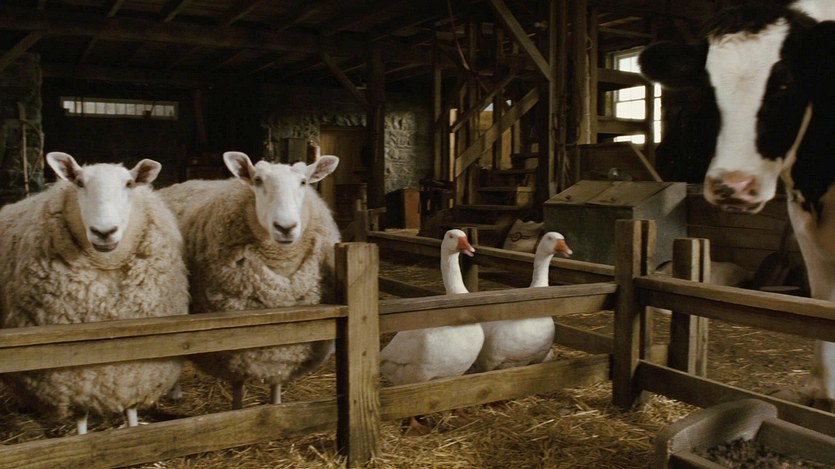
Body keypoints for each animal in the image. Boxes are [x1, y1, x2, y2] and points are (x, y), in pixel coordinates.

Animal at [0, 152, 188, 435]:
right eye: (79, 182)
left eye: (129, 184)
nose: (104, 232)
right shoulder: (74, 374)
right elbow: (81, 418)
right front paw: (81, 437)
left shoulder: (137, 367)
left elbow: (131, 408)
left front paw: (134, 430)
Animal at [159, 151, 341, 409]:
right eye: (257, 180)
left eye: (304, 182)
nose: (286, 227)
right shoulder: (235, 347)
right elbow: (238, 388)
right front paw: (237, 410)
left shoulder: (285, 347)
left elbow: (276, 383)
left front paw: (276, 408)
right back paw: (175, 392)